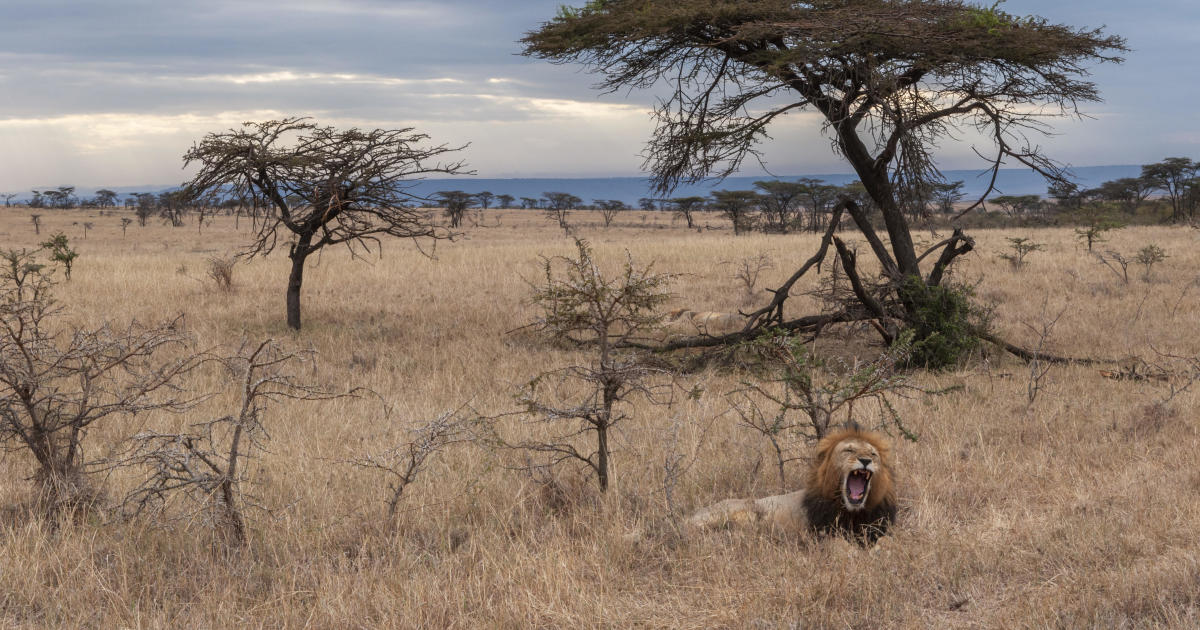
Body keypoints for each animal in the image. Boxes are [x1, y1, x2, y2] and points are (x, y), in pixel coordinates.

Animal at [691, 424, 897, 542]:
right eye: (849, 450)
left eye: (873, 454)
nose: (865, 460)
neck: (853, 512)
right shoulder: (823, 534)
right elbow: (842, 547)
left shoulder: (879, 530)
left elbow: (888, 543)